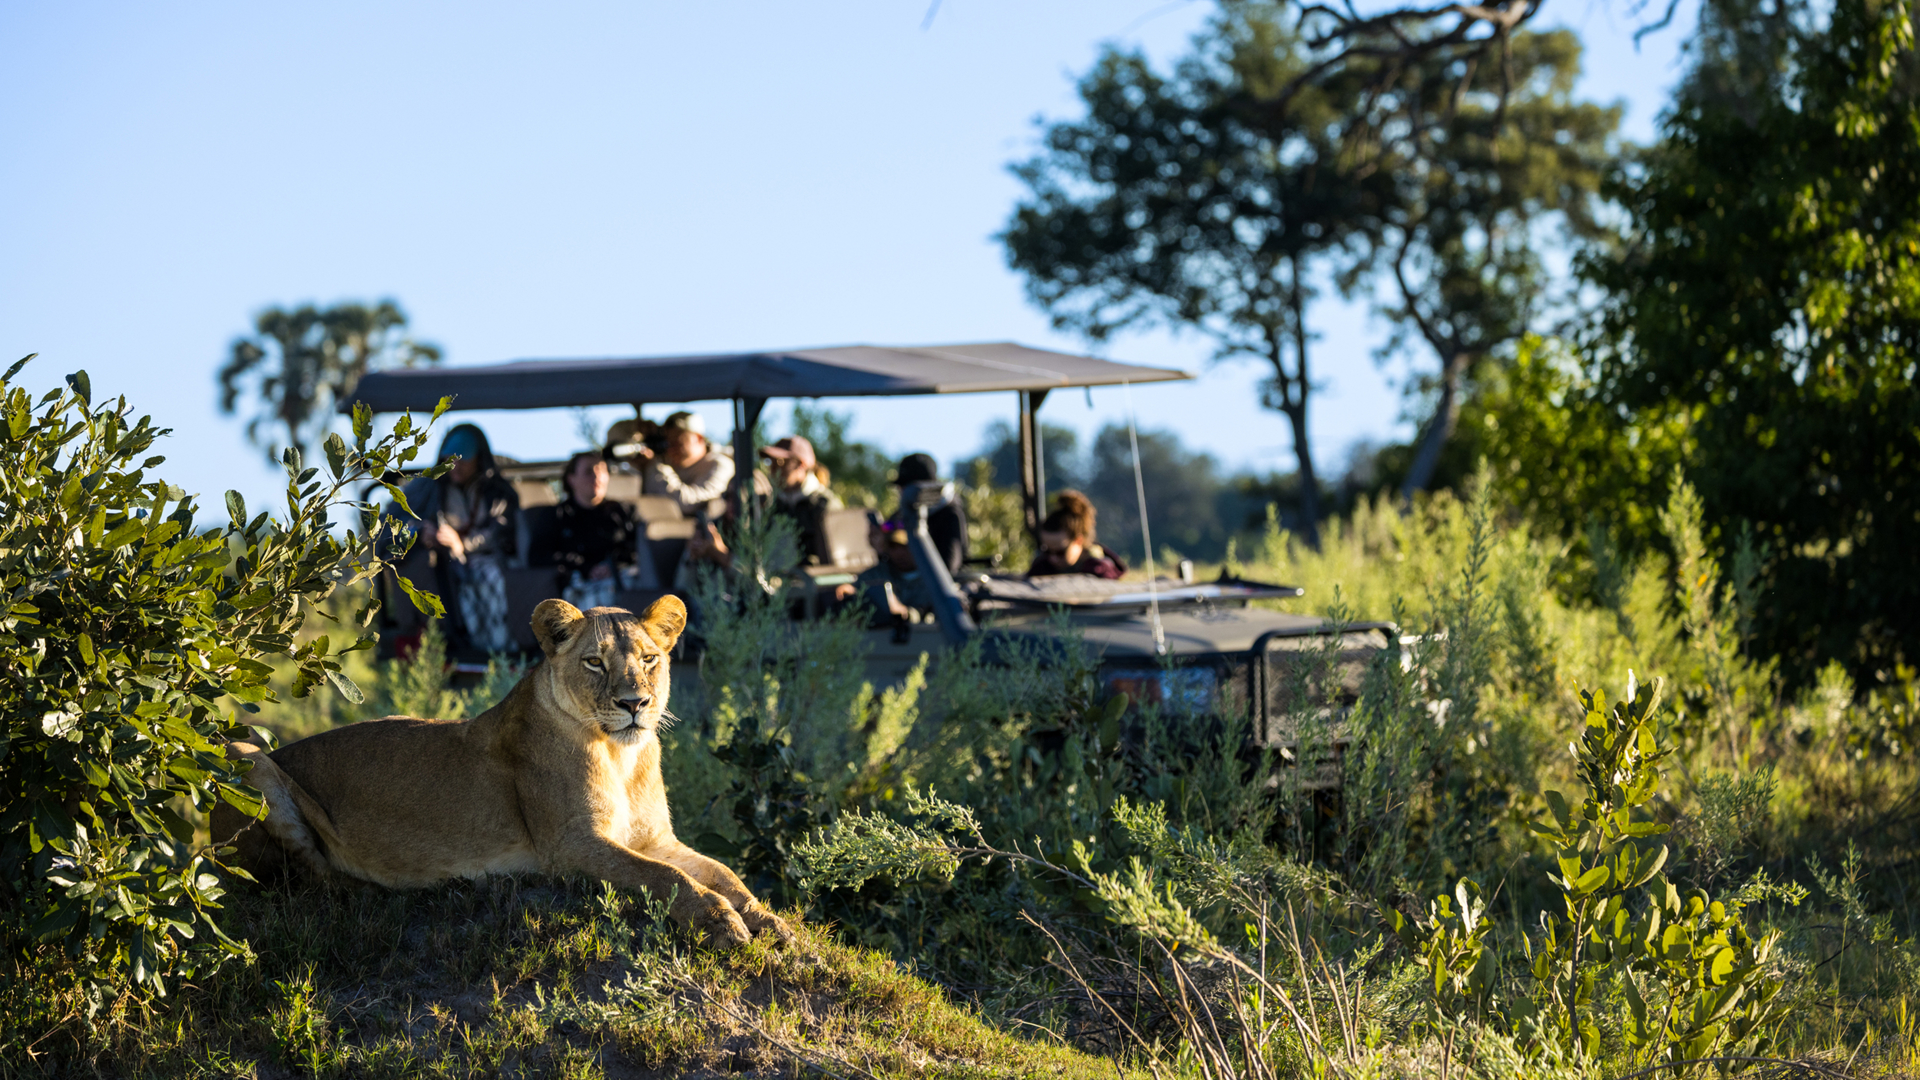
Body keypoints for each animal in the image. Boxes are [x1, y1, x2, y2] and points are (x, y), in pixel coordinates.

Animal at [211, 596, 788, 948]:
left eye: (649, 659)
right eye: (595, 663)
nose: (634, 704)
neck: (621, 756)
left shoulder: (655, 839)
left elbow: (723, 874)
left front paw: (769, 921)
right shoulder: (570, 846)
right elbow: (666, 878)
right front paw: (721, 922)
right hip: (244, 753)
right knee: (312, 876)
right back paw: (378, 887)